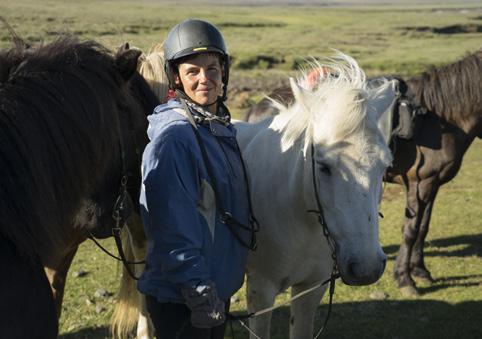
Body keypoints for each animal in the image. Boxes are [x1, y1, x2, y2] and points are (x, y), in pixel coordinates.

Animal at [245, 49, 482, 296]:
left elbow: (423, 227)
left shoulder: (432, 183)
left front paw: (420, 271)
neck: (439, 120)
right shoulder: (420, 183)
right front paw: (405, 278)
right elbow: (411, 230)